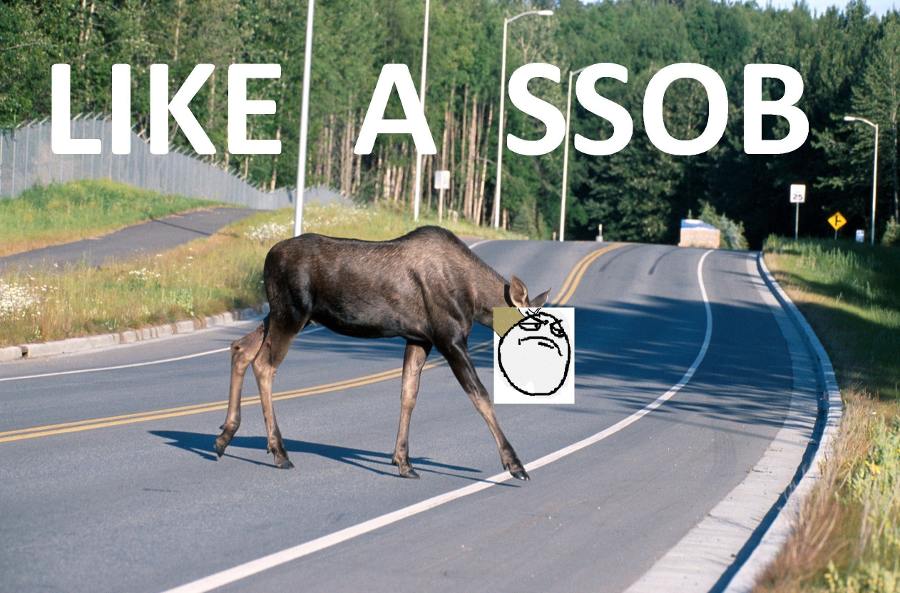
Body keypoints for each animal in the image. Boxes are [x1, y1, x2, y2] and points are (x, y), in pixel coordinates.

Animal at [214, 224, 548, 478]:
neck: (475, 301)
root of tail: (267, 258)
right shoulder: (449, 338)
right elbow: (480, 396)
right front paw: (515, 464)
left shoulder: (419, 338)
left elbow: (408, 394)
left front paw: (403, 461)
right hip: (292, 313)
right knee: (264, 365)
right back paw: (279, 452)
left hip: (283, 314)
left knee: (241, 348)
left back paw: (224, 437)